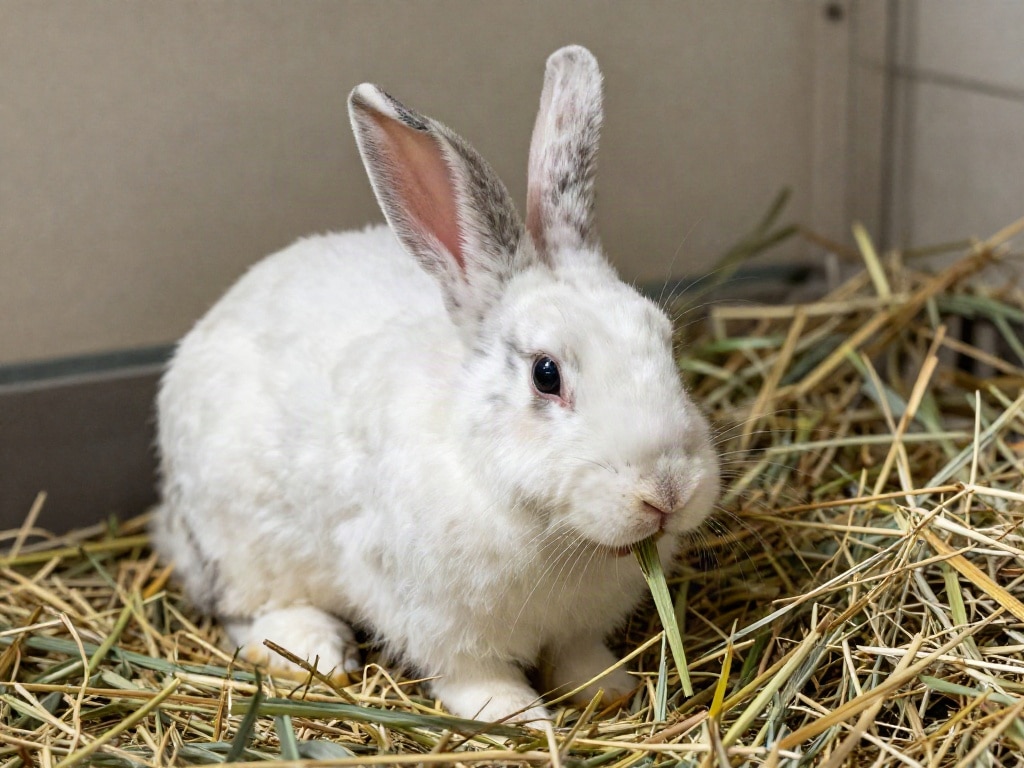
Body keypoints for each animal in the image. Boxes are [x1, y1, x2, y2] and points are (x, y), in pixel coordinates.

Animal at [152, 45, 719, 724]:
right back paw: (317, 650)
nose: (668, 490)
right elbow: (474, 675)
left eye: (665, 341)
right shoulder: (435, 621)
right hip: (242, 543)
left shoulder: (577, 628)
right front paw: (519, 718)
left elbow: (578, 658)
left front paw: (610, 690)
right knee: (243, 611)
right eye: (546, 374)